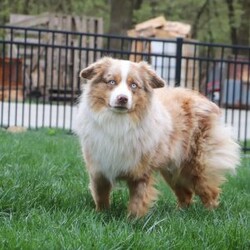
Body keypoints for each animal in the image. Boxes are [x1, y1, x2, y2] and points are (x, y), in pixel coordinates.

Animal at [74, 56, 240, 217]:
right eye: (111, 82)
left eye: (134, 85)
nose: (122, 98)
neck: (118, 122)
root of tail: (204, 99)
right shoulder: (99, 167)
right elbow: (101, 196)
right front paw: (101, 215)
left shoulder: (141, 172)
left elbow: (138, 201)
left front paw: (132, 221)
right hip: (173, 169)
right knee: (186, 194)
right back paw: (179, 214)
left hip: (197, 166)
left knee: (210, 192)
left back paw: (210, 214)